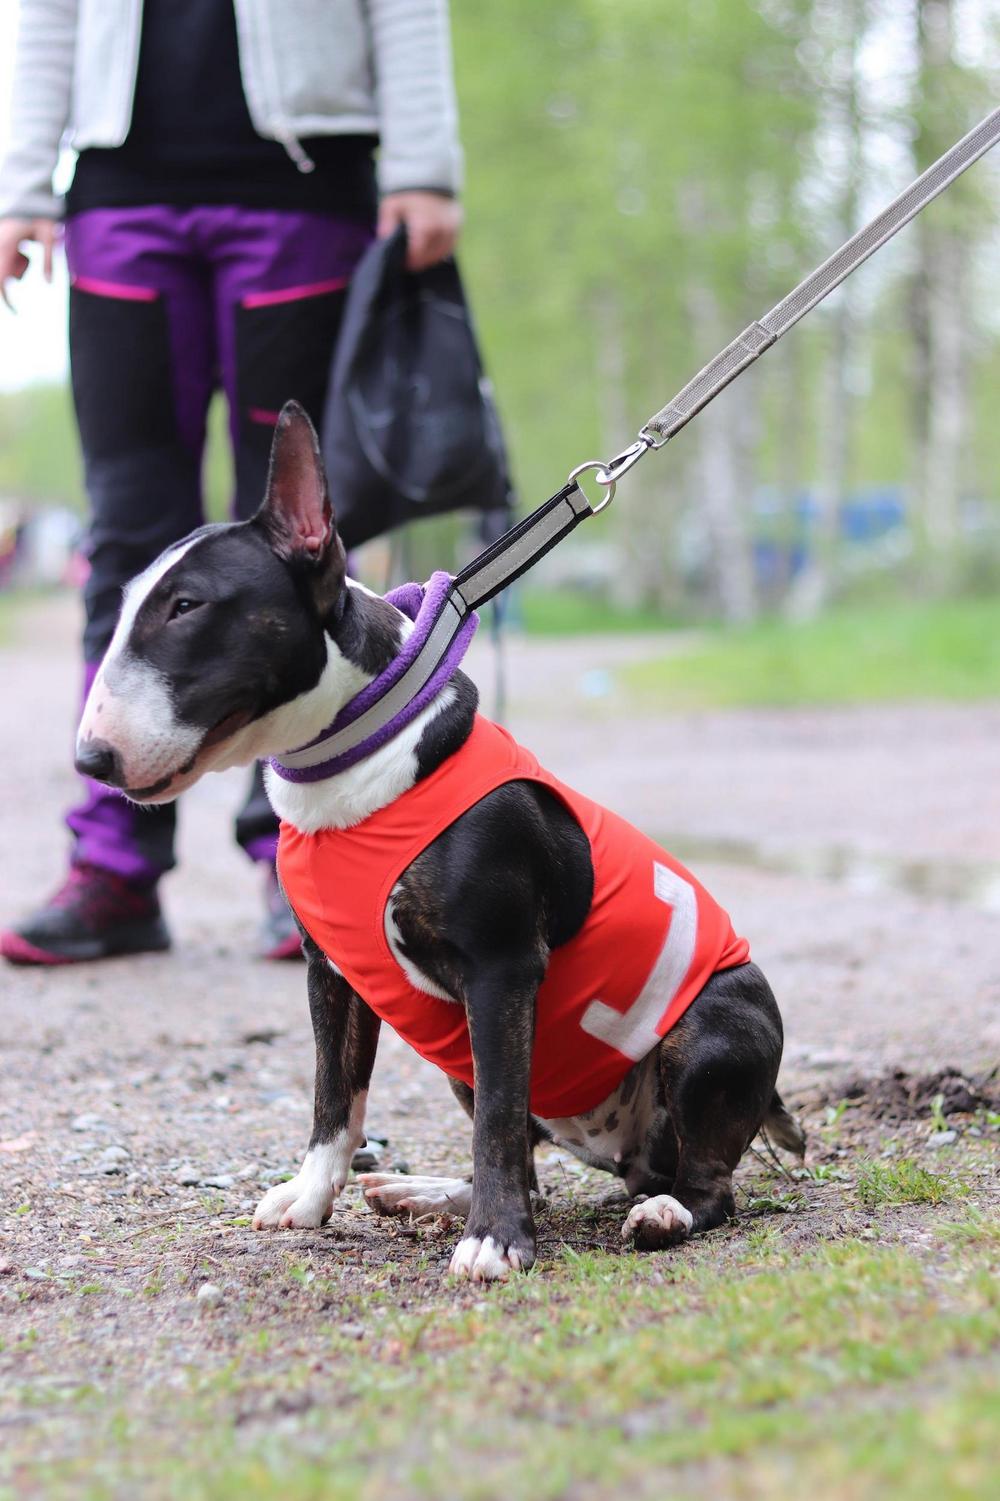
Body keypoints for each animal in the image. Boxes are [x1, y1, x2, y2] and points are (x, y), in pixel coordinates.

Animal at [75, 402, 804, 1282]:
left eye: (186, 606)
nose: (91, 760)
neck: (353, 758)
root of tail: (626, 1154)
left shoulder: (501, 969)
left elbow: (494, 1117)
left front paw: (496, 1241)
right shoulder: (332, 971)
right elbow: (335, 1099)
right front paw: (310, 1198)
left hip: (713, 1025)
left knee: (703, 1183)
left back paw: (659, 1212)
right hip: (463, 1053)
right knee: (530, 1158)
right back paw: (424, 1192)